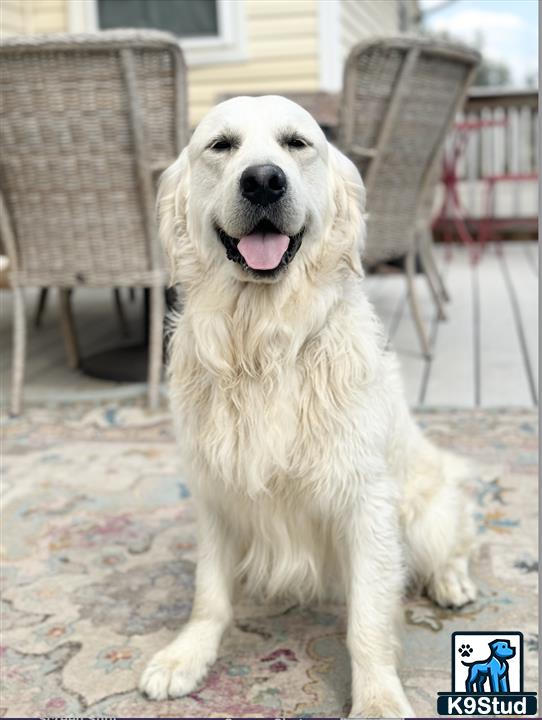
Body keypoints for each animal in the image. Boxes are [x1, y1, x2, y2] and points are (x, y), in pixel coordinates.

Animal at [139, 97, 476, 720]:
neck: (265, 343)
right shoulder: (214, 493)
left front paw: (377, 698)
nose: (263, 181)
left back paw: (452, 582)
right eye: (220, 146)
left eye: (297, 143)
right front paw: (186, 655)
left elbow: (367, 621)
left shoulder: (365, 502)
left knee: (455, 543)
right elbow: (209, 593)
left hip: (424, 511)